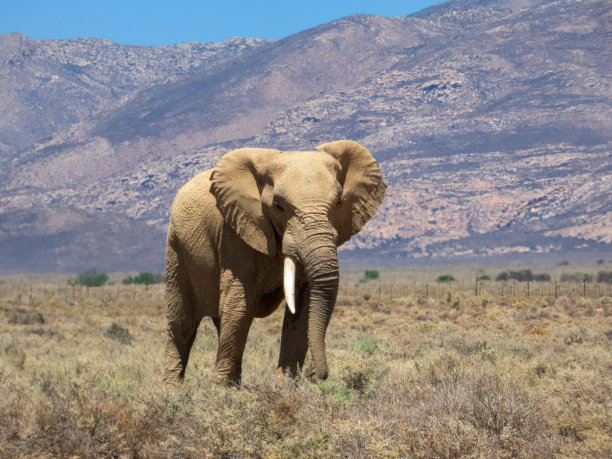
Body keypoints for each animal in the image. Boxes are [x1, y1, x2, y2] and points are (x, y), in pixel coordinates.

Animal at [165, 140, 384, 384]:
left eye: (338, 203)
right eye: (278, 206)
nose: (318, 376)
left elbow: (303, 305)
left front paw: (285, 383)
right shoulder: (234, 231)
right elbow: (240, 303)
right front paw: (219, 388)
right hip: (177, 248)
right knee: (182, 323)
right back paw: (173, 388)